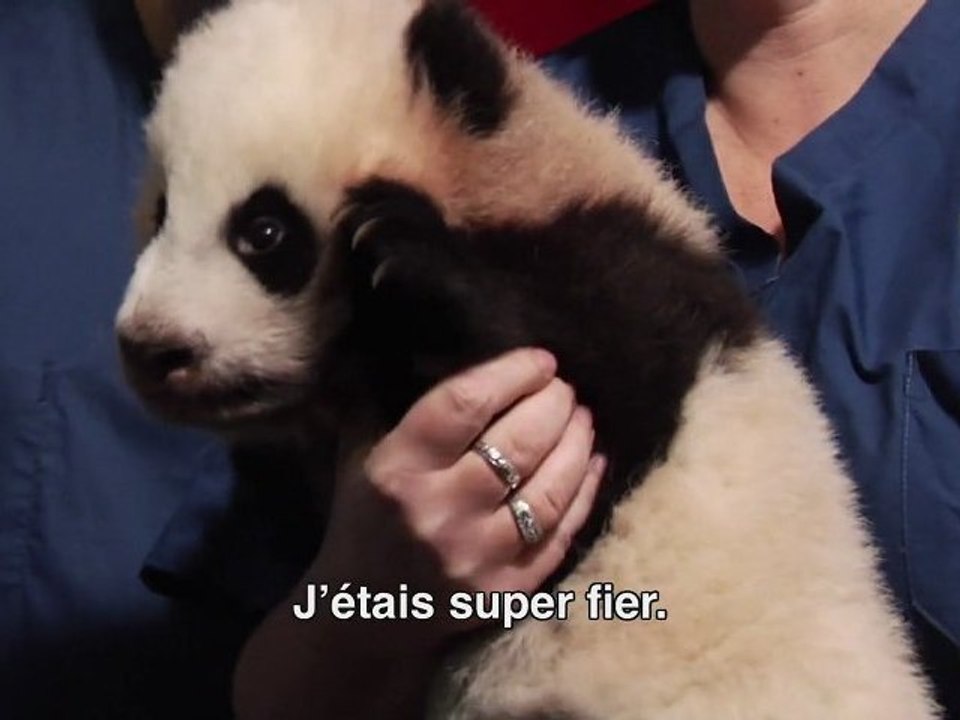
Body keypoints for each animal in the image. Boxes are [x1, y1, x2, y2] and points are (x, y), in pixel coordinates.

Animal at [114, 0, 938, 718]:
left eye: (265, 233)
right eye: (161, 211)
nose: (152, 349)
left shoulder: (632, 293)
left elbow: (597, 380)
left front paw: (396, 249)